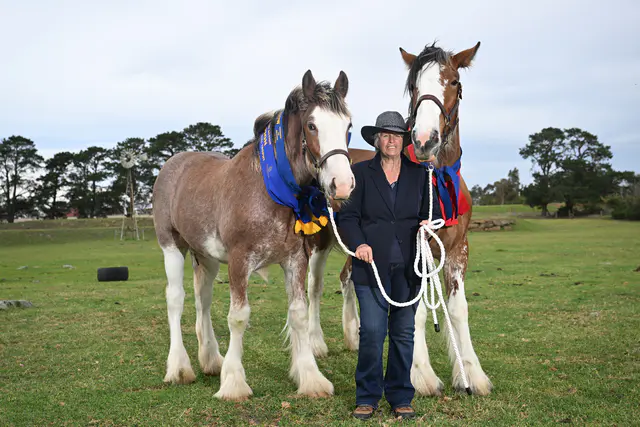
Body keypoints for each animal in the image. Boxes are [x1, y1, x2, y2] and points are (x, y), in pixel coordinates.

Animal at [152, 69, 355, 401]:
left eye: (348, 126)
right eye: (312, 125)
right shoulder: (239, 260)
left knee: (203, 298)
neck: (270, 190)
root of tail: (173, 163)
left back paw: (211, 359)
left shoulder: (296, 259)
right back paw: (179, 368)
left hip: (206, 256)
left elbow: (299, 313)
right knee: (176, 299)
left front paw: (311, 378)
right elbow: (238, 317)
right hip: (172, 246)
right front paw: (234, 382)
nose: (343, 184)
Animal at [305, 41, 493, 397]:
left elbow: (458, 309)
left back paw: (353, 335)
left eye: (454, 82)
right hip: (318, 243)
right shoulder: (413, 250)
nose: (425, 140)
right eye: (414, 86)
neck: (436, 177)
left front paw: (471, 373)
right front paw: (420, 375)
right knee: (314, 286)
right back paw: (315, 343)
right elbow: (415, 311)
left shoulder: (458, 250)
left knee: (347, 279)